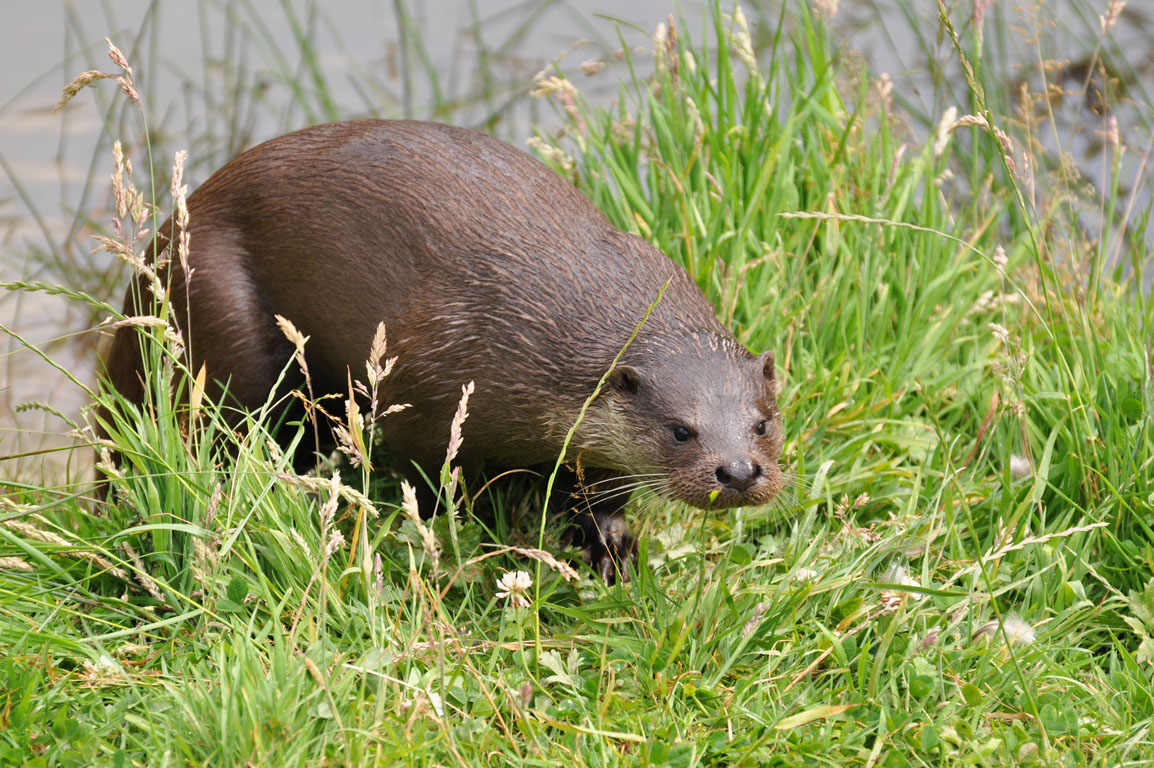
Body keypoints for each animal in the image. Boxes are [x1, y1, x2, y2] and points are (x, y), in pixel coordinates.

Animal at [101, 120, 785, 582]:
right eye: (680, 430)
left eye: (762, 424)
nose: (738, 472)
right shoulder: (427, 389)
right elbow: (425, 478)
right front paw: (459, 528)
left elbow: (601, 493)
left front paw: (610, 548)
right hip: (223, 330)